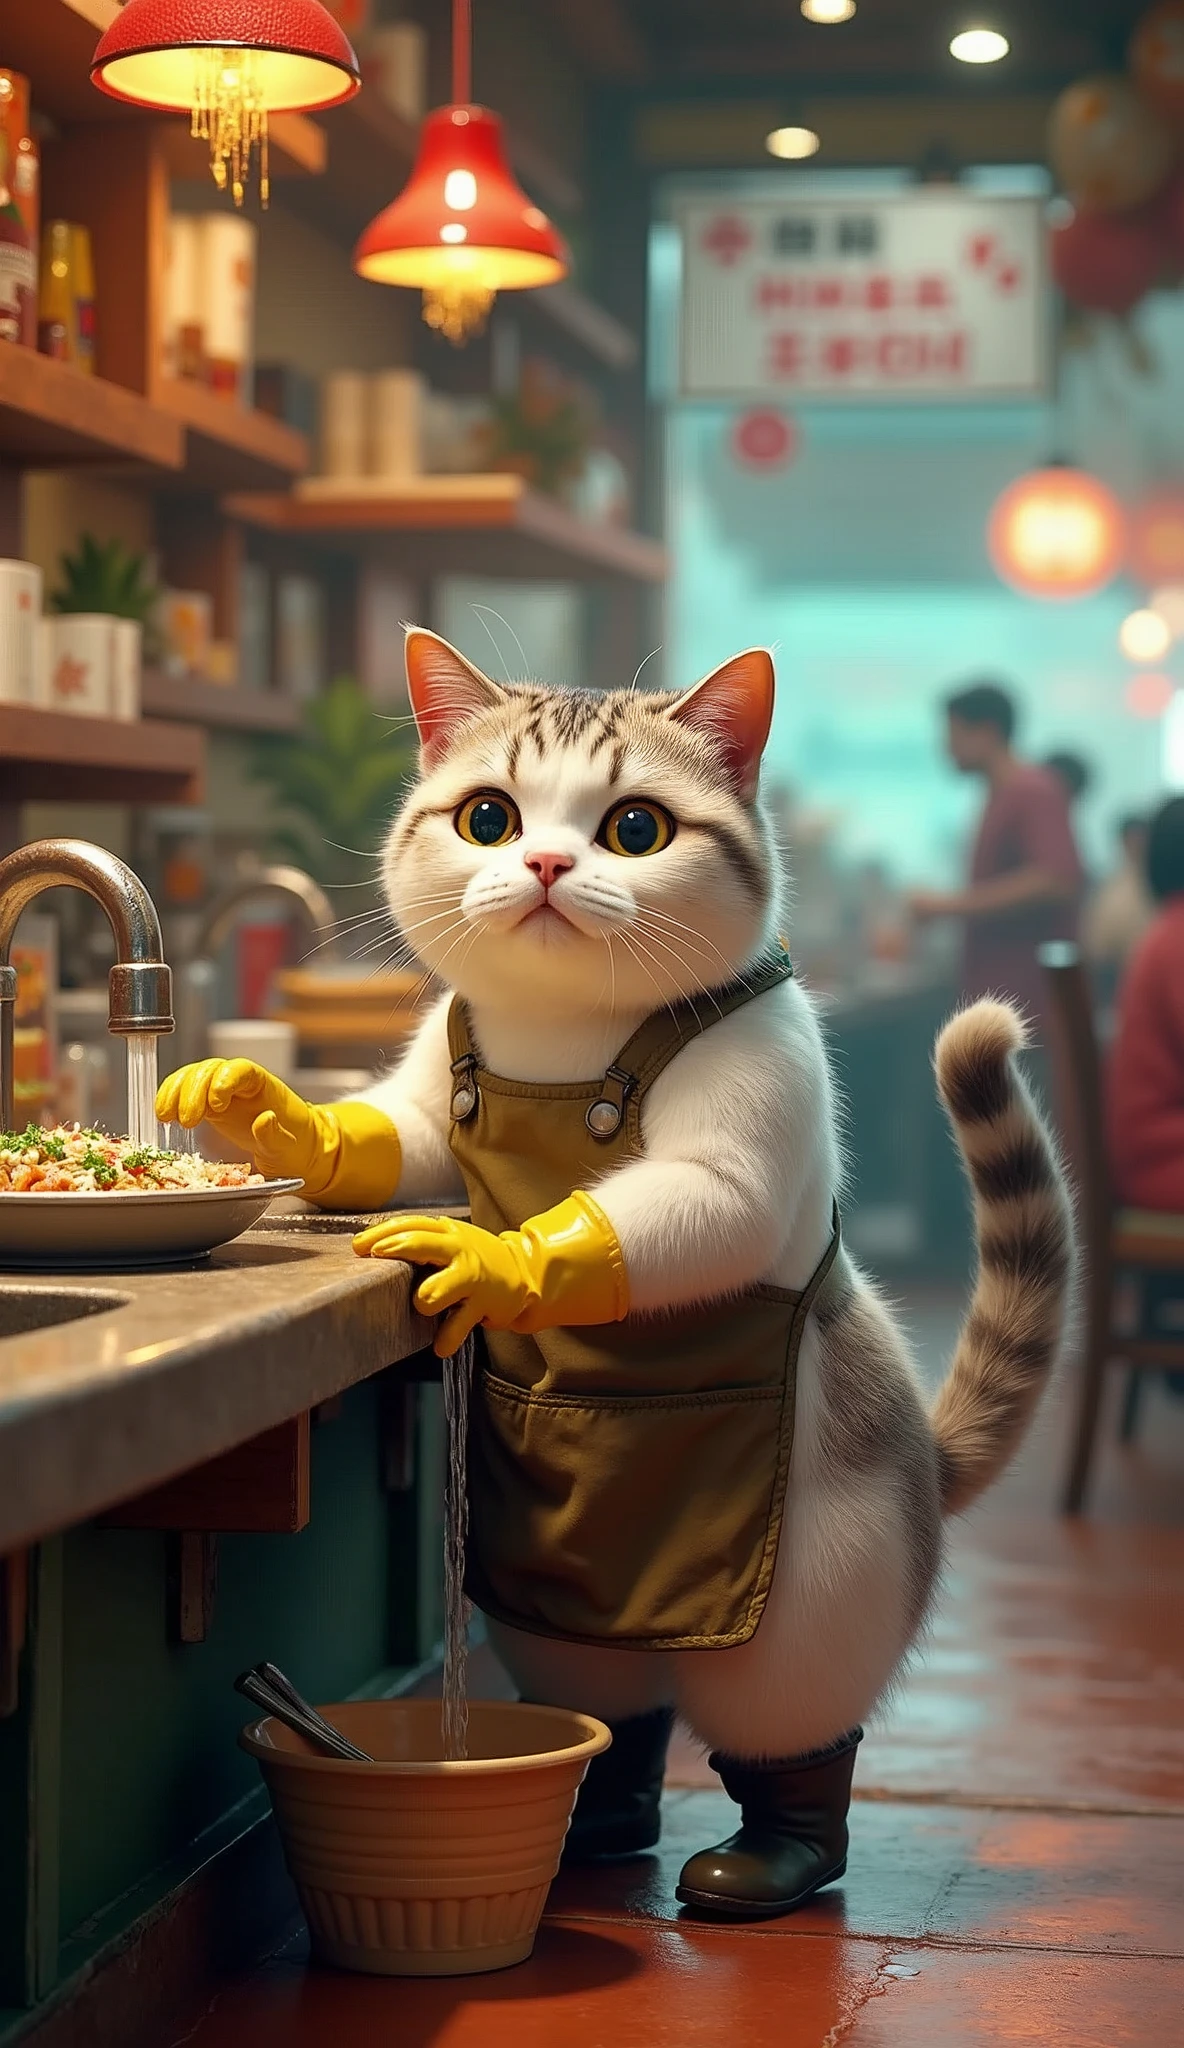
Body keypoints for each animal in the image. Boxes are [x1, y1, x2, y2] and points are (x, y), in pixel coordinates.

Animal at [354, 630, 1073, 1908]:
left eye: (634, 828)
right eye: (488, 817)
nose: (543, 861)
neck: (561, 1040)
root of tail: (928, 1463)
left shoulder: (753, 1104)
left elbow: (685, 1210)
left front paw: (493, 1252)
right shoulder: (439, 1078)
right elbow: (406, 1131)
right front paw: (283, 1118)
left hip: (814, 1606)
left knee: (790, 1733)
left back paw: (773, 1855)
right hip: (551, 1622)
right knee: (611, 1707)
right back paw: (597, 1823)